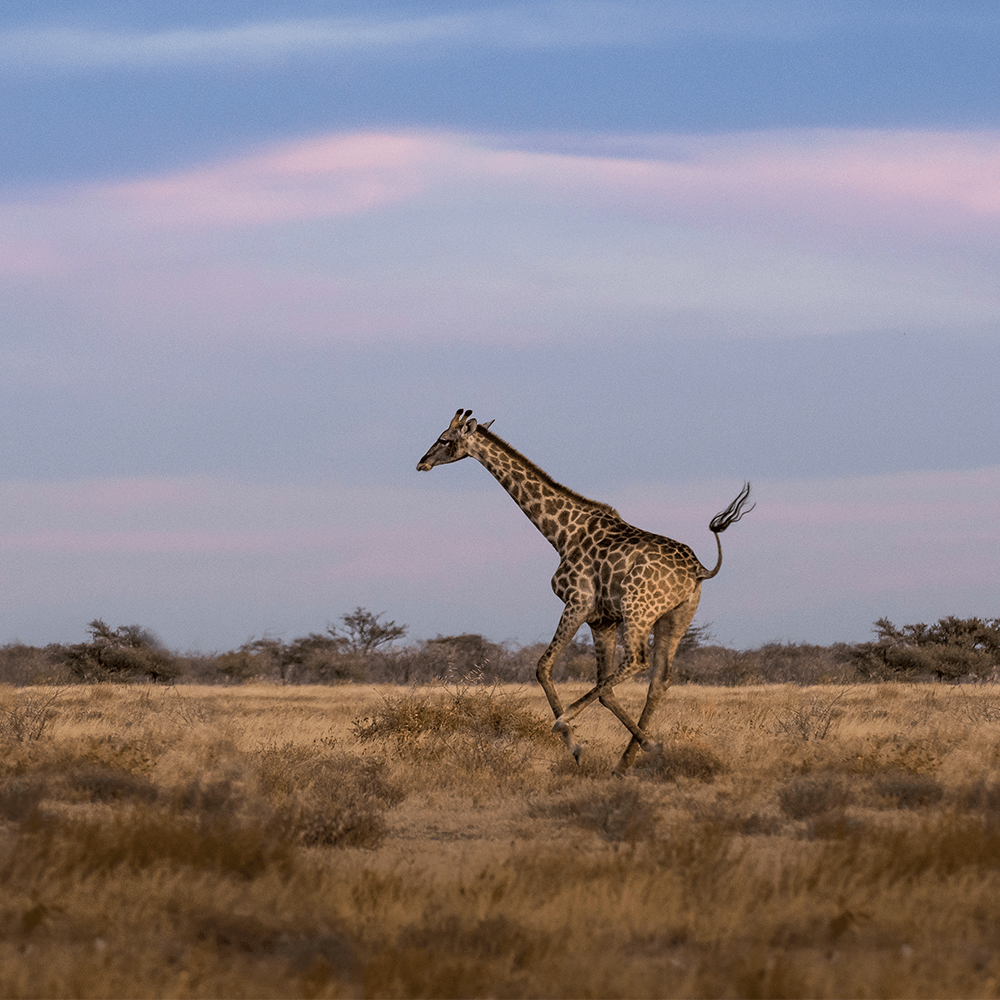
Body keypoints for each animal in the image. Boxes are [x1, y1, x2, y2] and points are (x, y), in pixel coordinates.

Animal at [414, 406, 752, 772]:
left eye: (444, 439)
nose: (421, 463)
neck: (562, 533)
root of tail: (698, 569)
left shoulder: (578, 601)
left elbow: (544, 667)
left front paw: (573, 742)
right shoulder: (602, 619)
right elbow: (604, 688)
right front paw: (638, 746)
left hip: (638, 608)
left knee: (637, 661)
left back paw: (578, 724)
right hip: (676, 617)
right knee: (659, 680)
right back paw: (628, 759)